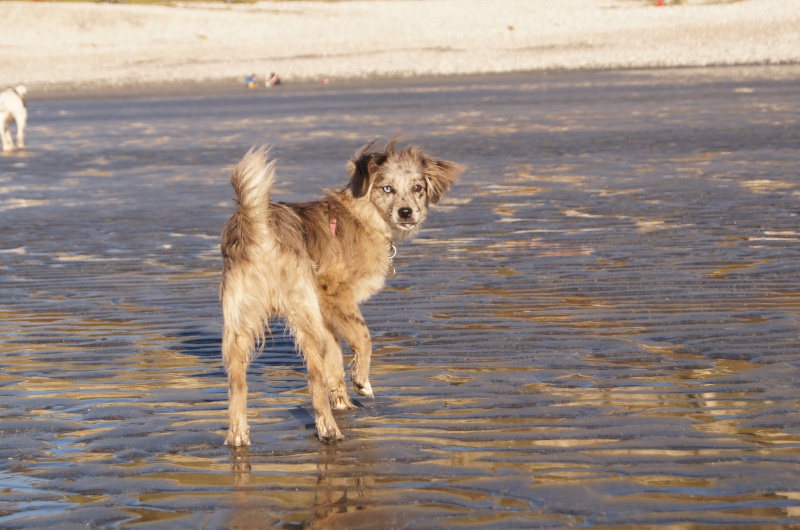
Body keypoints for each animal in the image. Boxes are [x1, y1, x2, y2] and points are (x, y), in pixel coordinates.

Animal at [222, 139, 466, 442]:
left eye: (417, 188)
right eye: (387, 189)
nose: (406, 212)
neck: (363, 216)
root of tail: (260, 229)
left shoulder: (326, 316)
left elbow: (335, 362)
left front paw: (344, 403)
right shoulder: (335, 294)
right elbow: (363, 337)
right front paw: (361, 381)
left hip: (240, 326)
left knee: (237, 384)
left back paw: (238, 437)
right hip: (304, 316)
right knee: (314, 381)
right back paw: (329, 431)